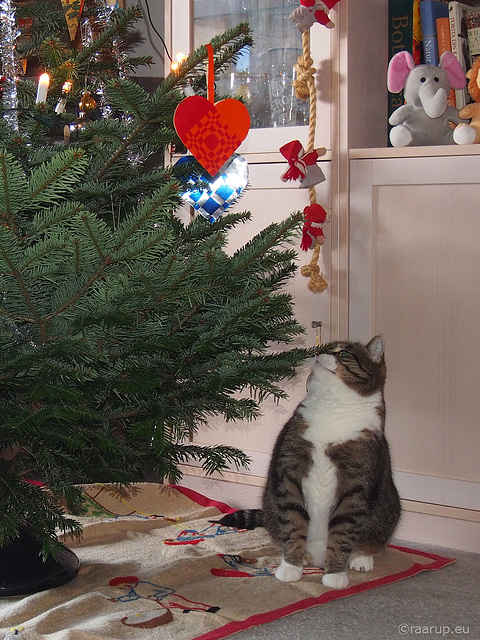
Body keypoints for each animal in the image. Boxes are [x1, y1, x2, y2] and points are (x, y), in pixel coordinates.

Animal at [218, 338, 402, 588]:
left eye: (343, 353)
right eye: (327, 346)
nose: (318, 350)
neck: (333, 408)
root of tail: (318, 558)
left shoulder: (355, 485)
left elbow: (344, 531)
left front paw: (335, 573)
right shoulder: (290, 472)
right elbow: (293, 522)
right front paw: (291, 566)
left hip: (388, 510)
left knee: (371, 540)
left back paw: (361, 558)